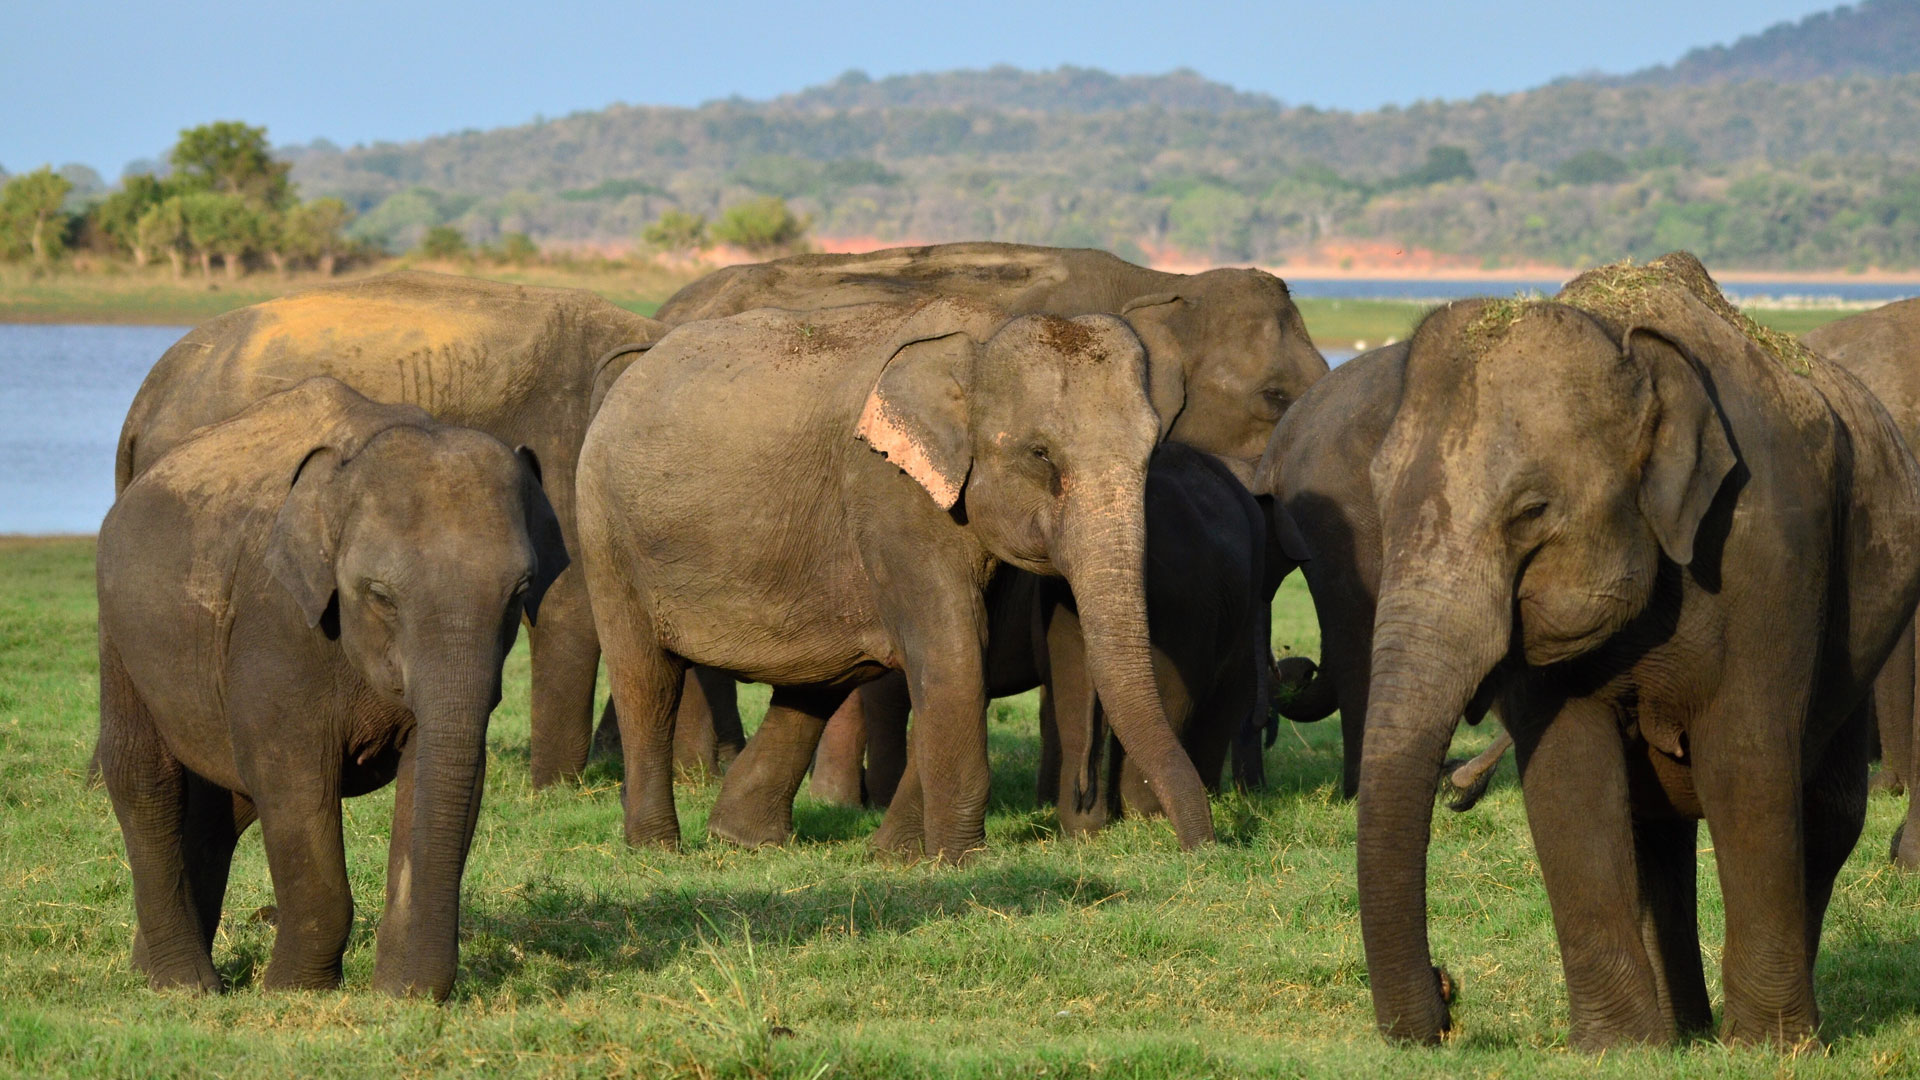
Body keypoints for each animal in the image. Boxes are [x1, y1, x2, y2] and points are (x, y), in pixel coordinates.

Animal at [96, 374, 564, 999]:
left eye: (521, 590)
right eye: (381, 595)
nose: (420, 995)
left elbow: (437, 771)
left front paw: (391, 995)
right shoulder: (276, 624)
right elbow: (291, 776)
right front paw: (293, 992)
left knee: (221, 807)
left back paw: (149, 969)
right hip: (119, 630)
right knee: (144, 776)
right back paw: (186, 984)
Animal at [576, 297, 1205, 860]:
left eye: (1151, 449)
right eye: (1041, 453)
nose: (1201, 849)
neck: (980, 336)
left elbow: (967, 654)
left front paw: (895, 856)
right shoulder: (890, 489)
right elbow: (953, 651)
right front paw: (956, 861)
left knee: (816, 682)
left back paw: (743, 841)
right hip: (607, 533)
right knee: (646, 678)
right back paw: (657, 848)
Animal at [1351, 249, 1920, 1045]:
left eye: (1532, 511)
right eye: (1378, 499)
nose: (1448, 992)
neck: (1625, 345)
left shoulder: (1769, 549)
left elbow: (1746, 762)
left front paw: (1765, 1048)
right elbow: (1569, 778)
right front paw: (1618, 1049)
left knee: (1827, 811)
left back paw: (1772, 1030)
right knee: (1656, 832)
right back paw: (1682, 1032)